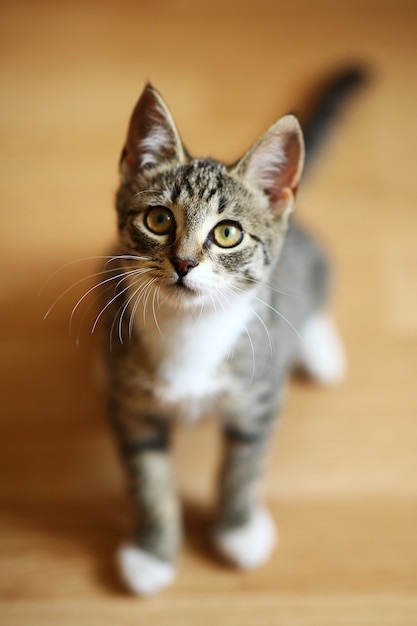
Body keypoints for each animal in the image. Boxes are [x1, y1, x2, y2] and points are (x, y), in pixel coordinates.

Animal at [101, 74, 358, 596]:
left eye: (227, 233)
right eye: (159, 219)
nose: (183, 263)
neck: (190, 328)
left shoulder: (259, 393)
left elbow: (245, 463)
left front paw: (238, 529)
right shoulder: (132, 403)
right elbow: (147, 477)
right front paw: (151, 553)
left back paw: (320, 348)